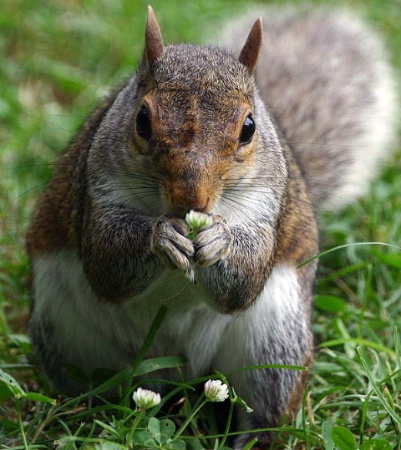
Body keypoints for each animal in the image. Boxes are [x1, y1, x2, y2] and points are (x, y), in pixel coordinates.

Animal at [25, 4, 396, 450]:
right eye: (142, 120)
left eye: (249, 127)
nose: (192, 199)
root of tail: (178, 372)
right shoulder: (95, 191)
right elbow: (106, 265)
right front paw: (160, 237)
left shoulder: (266, 206)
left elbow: (244, 282)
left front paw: (220, 241)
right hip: (69, 336)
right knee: (97, 393)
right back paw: (87, 421)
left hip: (273, 345)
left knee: (264, 407)